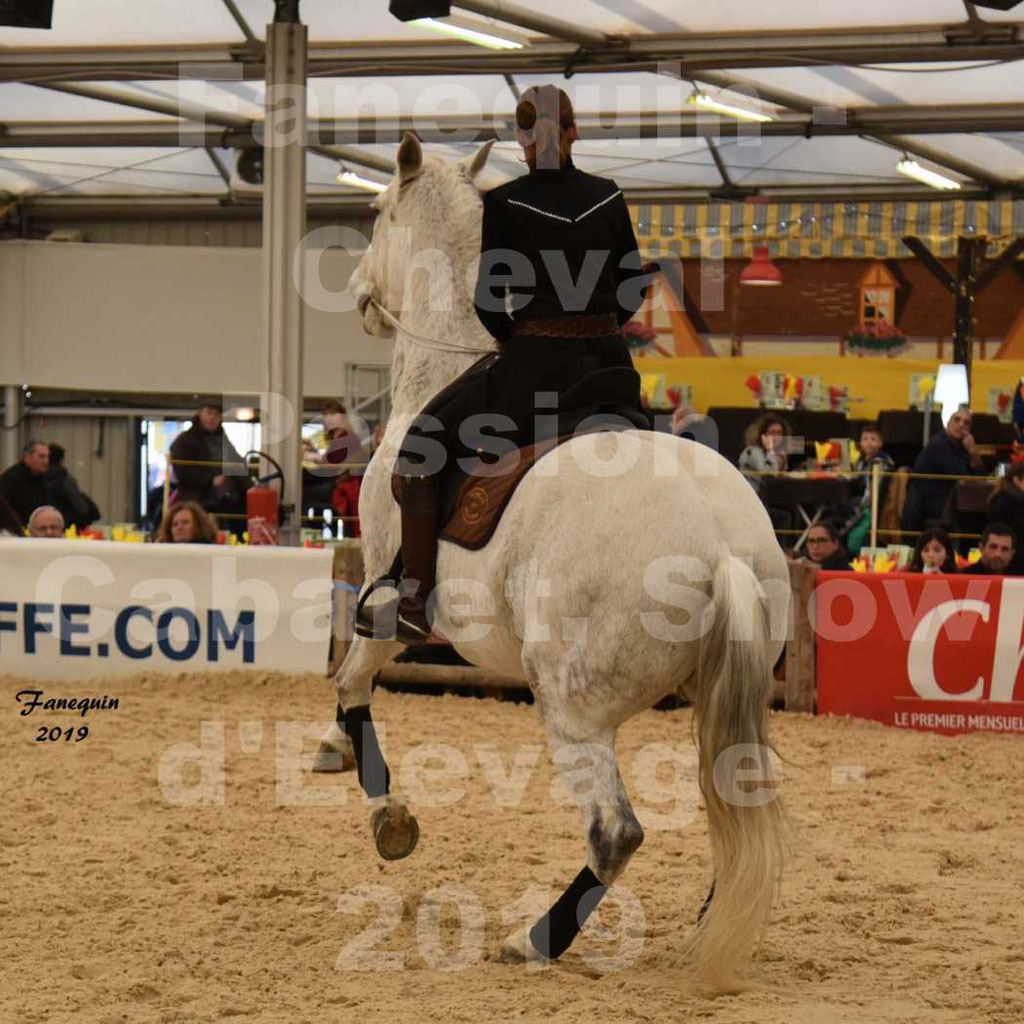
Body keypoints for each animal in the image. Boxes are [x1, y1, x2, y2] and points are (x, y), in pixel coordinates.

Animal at [319, 136, 790, 983]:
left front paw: (381, 806)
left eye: (378, 212)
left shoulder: (385, 599)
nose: (360, 294)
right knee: (729, 807)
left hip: (573, 708)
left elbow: (351, 682)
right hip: (715, 697)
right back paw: (710, 927)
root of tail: (721, 548)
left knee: (616, 833)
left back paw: (532, 940)